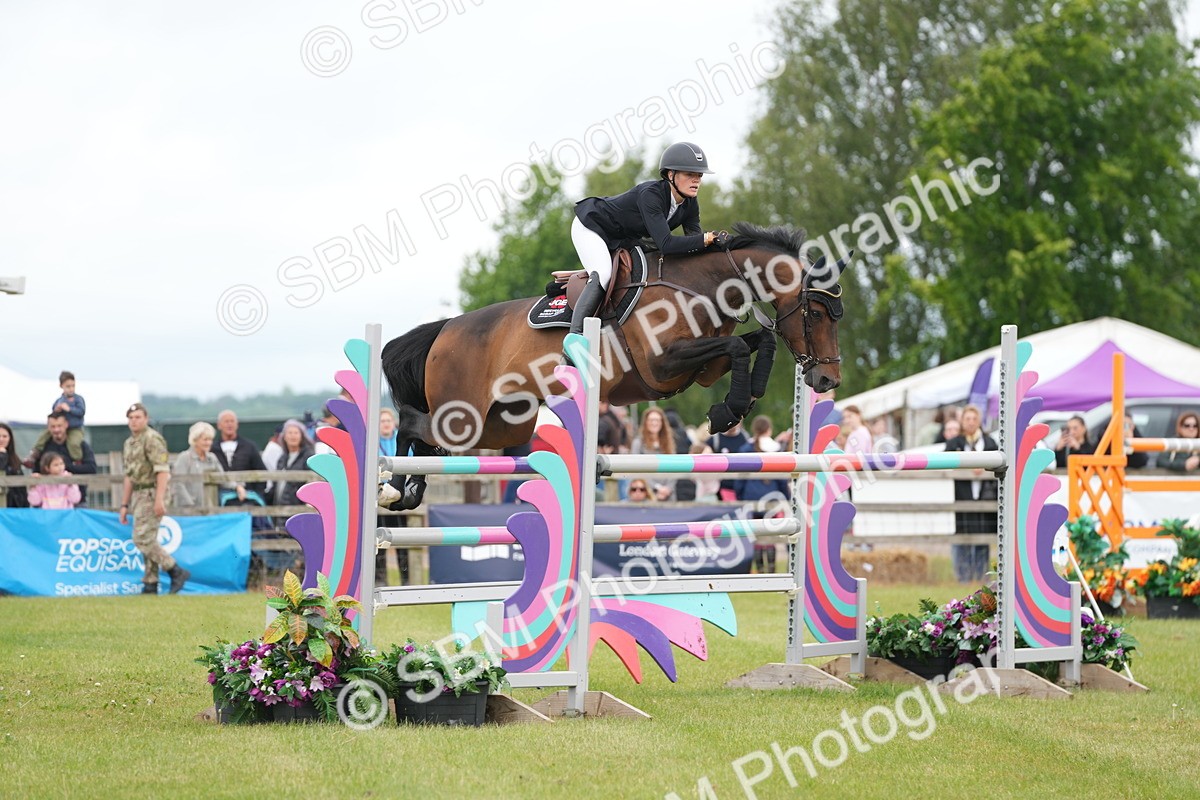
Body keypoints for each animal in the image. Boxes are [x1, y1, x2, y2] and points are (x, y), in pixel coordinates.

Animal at [381, 221, 850, 509]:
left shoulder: (701, 368)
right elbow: (737, 345)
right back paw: (393, 488)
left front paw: (740, 402)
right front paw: (728, 411)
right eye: (816, 312)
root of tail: (446, 328)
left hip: (504, 425)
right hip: (465, 417)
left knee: (430, 438)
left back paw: (410, 489)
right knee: (412, 423)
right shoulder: (663, 365)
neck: (701, 285)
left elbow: (757, 341)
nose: (827, 378)